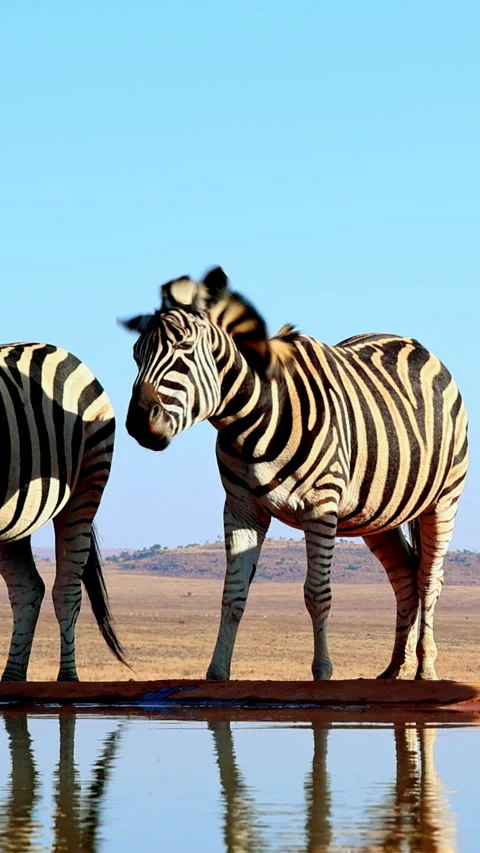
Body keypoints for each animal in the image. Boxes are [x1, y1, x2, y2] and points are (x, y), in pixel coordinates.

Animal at [0, 342, 126, 681]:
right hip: (15, 521)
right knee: (28, 590)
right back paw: (12, 676)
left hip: (86, 484)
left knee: (66, 590)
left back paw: (68, 676)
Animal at [122, 267, 468, 681]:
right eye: (136, 354)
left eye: (186, 348)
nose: (137, 423)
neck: (252, 417)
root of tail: (415, 344)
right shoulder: (241, 508)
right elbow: (232, 593)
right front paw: (218, 671)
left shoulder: (320, 506)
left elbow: (317, 593)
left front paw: (322, 670)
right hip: (378, 514)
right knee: (405, 576)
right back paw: (395, 668)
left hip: (443, 500)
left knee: (429, 579)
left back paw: (425, 669)